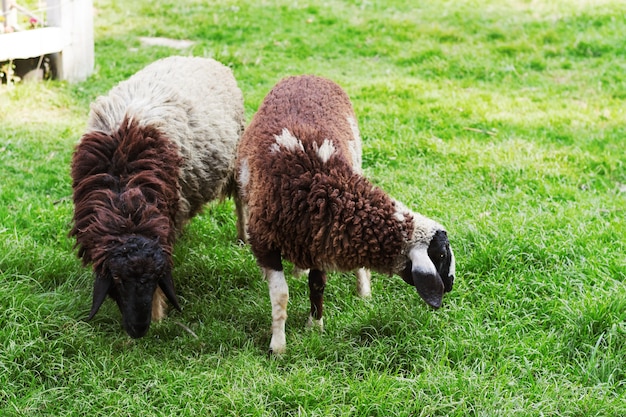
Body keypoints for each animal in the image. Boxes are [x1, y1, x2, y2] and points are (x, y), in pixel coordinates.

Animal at [69, 55, 244, 338]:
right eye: (116, 278)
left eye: (155, 278)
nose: (139, 329)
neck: (126, 203)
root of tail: (200, 57)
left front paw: (158, 315)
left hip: (236, 157)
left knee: (241, 198)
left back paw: (243, 237)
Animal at [234, 74, 454, 352]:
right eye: (441, 255)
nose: (450, 285)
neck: (319, 185)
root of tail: (309, 75)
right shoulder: (267, 241)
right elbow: (281, 296)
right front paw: (278, 347)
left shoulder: (320, 239)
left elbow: (317, 285)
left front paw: (315, 327)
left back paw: (362, 291)